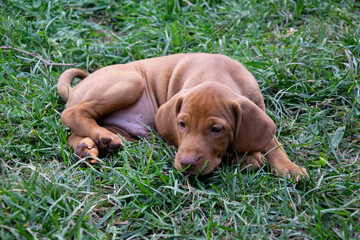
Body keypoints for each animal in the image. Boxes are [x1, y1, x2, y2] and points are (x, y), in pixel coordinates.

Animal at [57, 52, 308, 180]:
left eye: (216, 129)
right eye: (181, 124)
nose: (186, 164)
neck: (217, 72)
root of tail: (75, 89)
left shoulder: (259, 111)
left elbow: (272, 143)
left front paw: (289, 168)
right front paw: (248, 157)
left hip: (124, 129)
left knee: (75, 132)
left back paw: (88, 147)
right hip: (131, 81)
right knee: (72, 113)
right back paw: (100, 139)